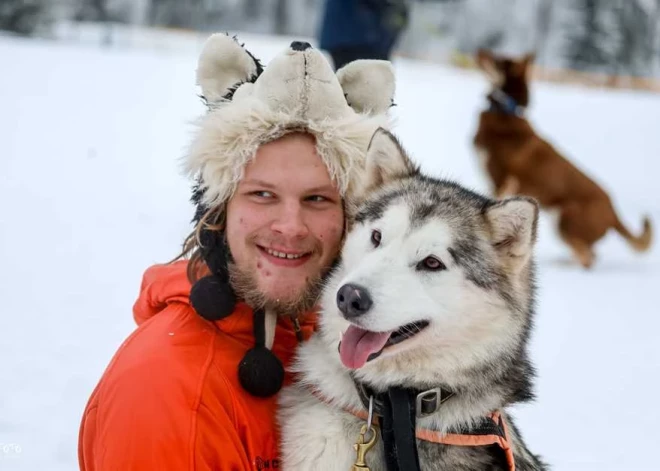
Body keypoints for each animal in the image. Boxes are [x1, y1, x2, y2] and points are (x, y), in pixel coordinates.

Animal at [472, 49, 652, 270]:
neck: (506, 112)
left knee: (587, 259)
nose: (479, 51)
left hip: (565, 220)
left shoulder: (501, 181)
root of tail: (614, 213)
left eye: (499, 59)